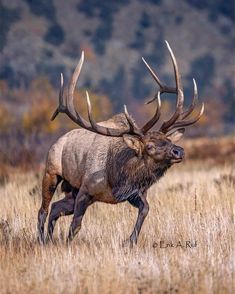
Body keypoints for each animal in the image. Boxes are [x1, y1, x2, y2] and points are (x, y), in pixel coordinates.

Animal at [37, 40, 204, 246]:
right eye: (149, 146)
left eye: (167, 140)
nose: (178, 151)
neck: (117, 177)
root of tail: (56, 141)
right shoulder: (85, 189)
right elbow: (76, 225)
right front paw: (68, 245)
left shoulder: (134, 193)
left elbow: (145, 209)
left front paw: (130, 241)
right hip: (52, 172)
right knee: (43, 210)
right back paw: (41, 240)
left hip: (71, 190)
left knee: (55, 208)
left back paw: (49, 239)